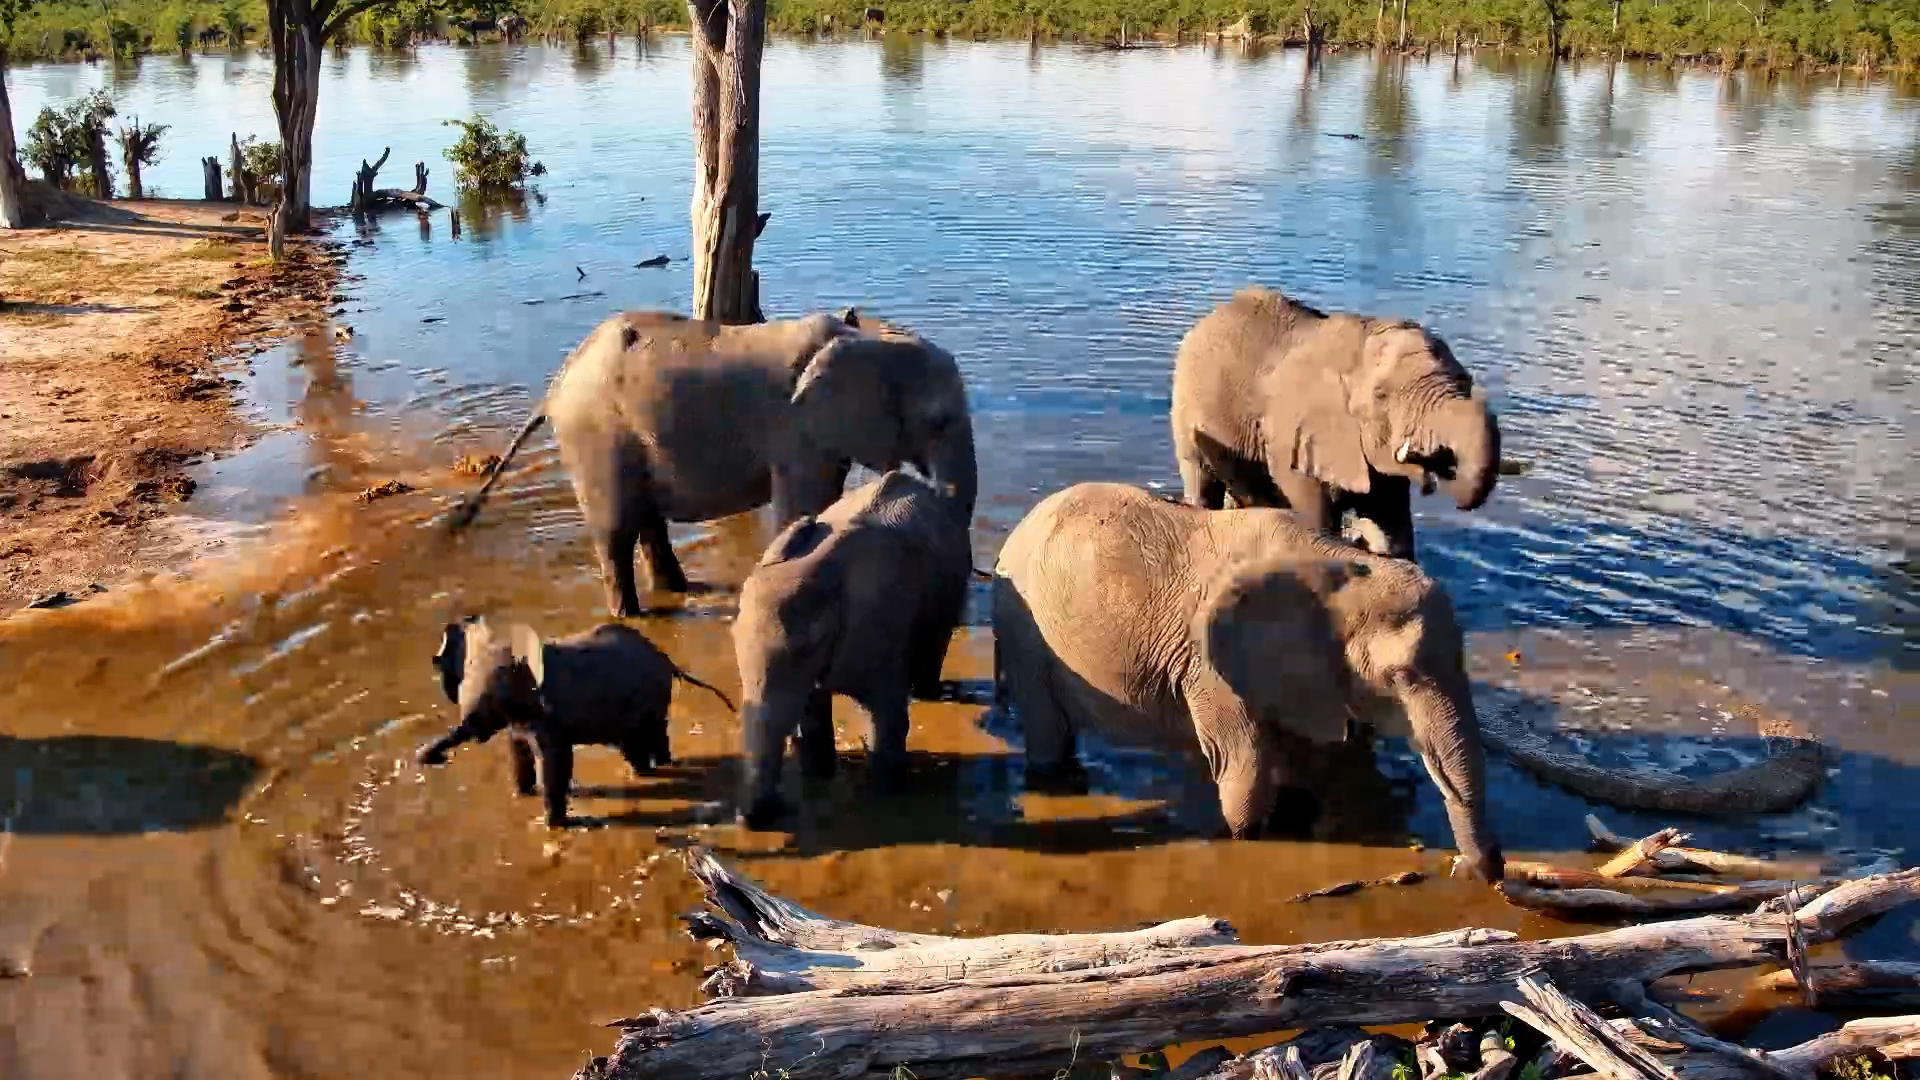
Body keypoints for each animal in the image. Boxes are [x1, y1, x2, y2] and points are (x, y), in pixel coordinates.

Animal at [417, 616, 734, 827]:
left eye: (489, 699)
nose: (432, 758)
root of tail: (666, 658)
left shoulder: (546, 714)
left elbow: (553, 758)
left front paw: (552, 825)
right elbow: (519, 752)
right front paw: (522, 795)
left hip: (646, 695)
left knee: (641, 735)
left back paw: (649, 771)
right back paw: (654, 768)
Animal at [450, 309, 978, 618]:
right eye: (937, 421)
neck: (862, 336)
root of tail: (554, 387)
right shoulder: (795, 429)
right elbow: (803, 504)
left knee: (647, 519)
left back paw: (679, 591)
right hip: (595, 438)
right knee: (616, 529)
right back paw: (632, 616)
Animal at [732, 469, 973, 830]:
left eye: (805, 648)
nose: (750, 818)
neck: (821, 570)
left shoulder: (879, 626)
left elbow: (886, 719)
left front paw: (883, 799)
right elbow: (812, 716)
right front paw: (818, 779)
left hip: (953, 588)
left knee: (934, 647)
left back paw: (927, 695)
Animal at [991, 482, 1504, 883]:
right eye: (1399, 678)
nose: (1467, 871)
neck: (1340, 565)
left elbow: (1302, 757)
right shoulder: (1209, 668)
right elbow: (1247, 766)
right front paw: (1245, 837)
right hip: (1023, 630)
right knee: (1046, 729)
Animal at [1170, 286, 1501, 562]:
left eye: (1465, 380)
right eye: (1381, 395)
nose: (1437, 473)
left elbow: (1391, 532)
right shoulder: (1292, 436)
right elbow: (1316, 523)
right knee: (1200, 477)